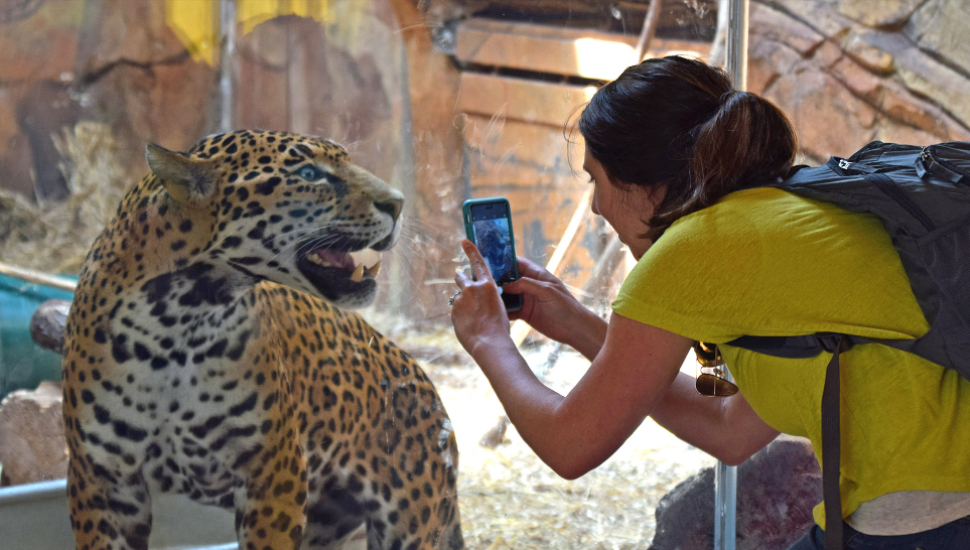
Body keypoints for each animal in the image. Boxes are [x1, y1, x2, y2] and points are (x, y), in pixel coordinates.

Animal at [60, 130, 463, 550]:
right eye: (308, 173)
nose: (397, 204)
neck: (177, 324)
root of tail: (434, 398)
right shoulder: (101, 478)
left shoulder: (274, 469)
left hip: (406, 523)